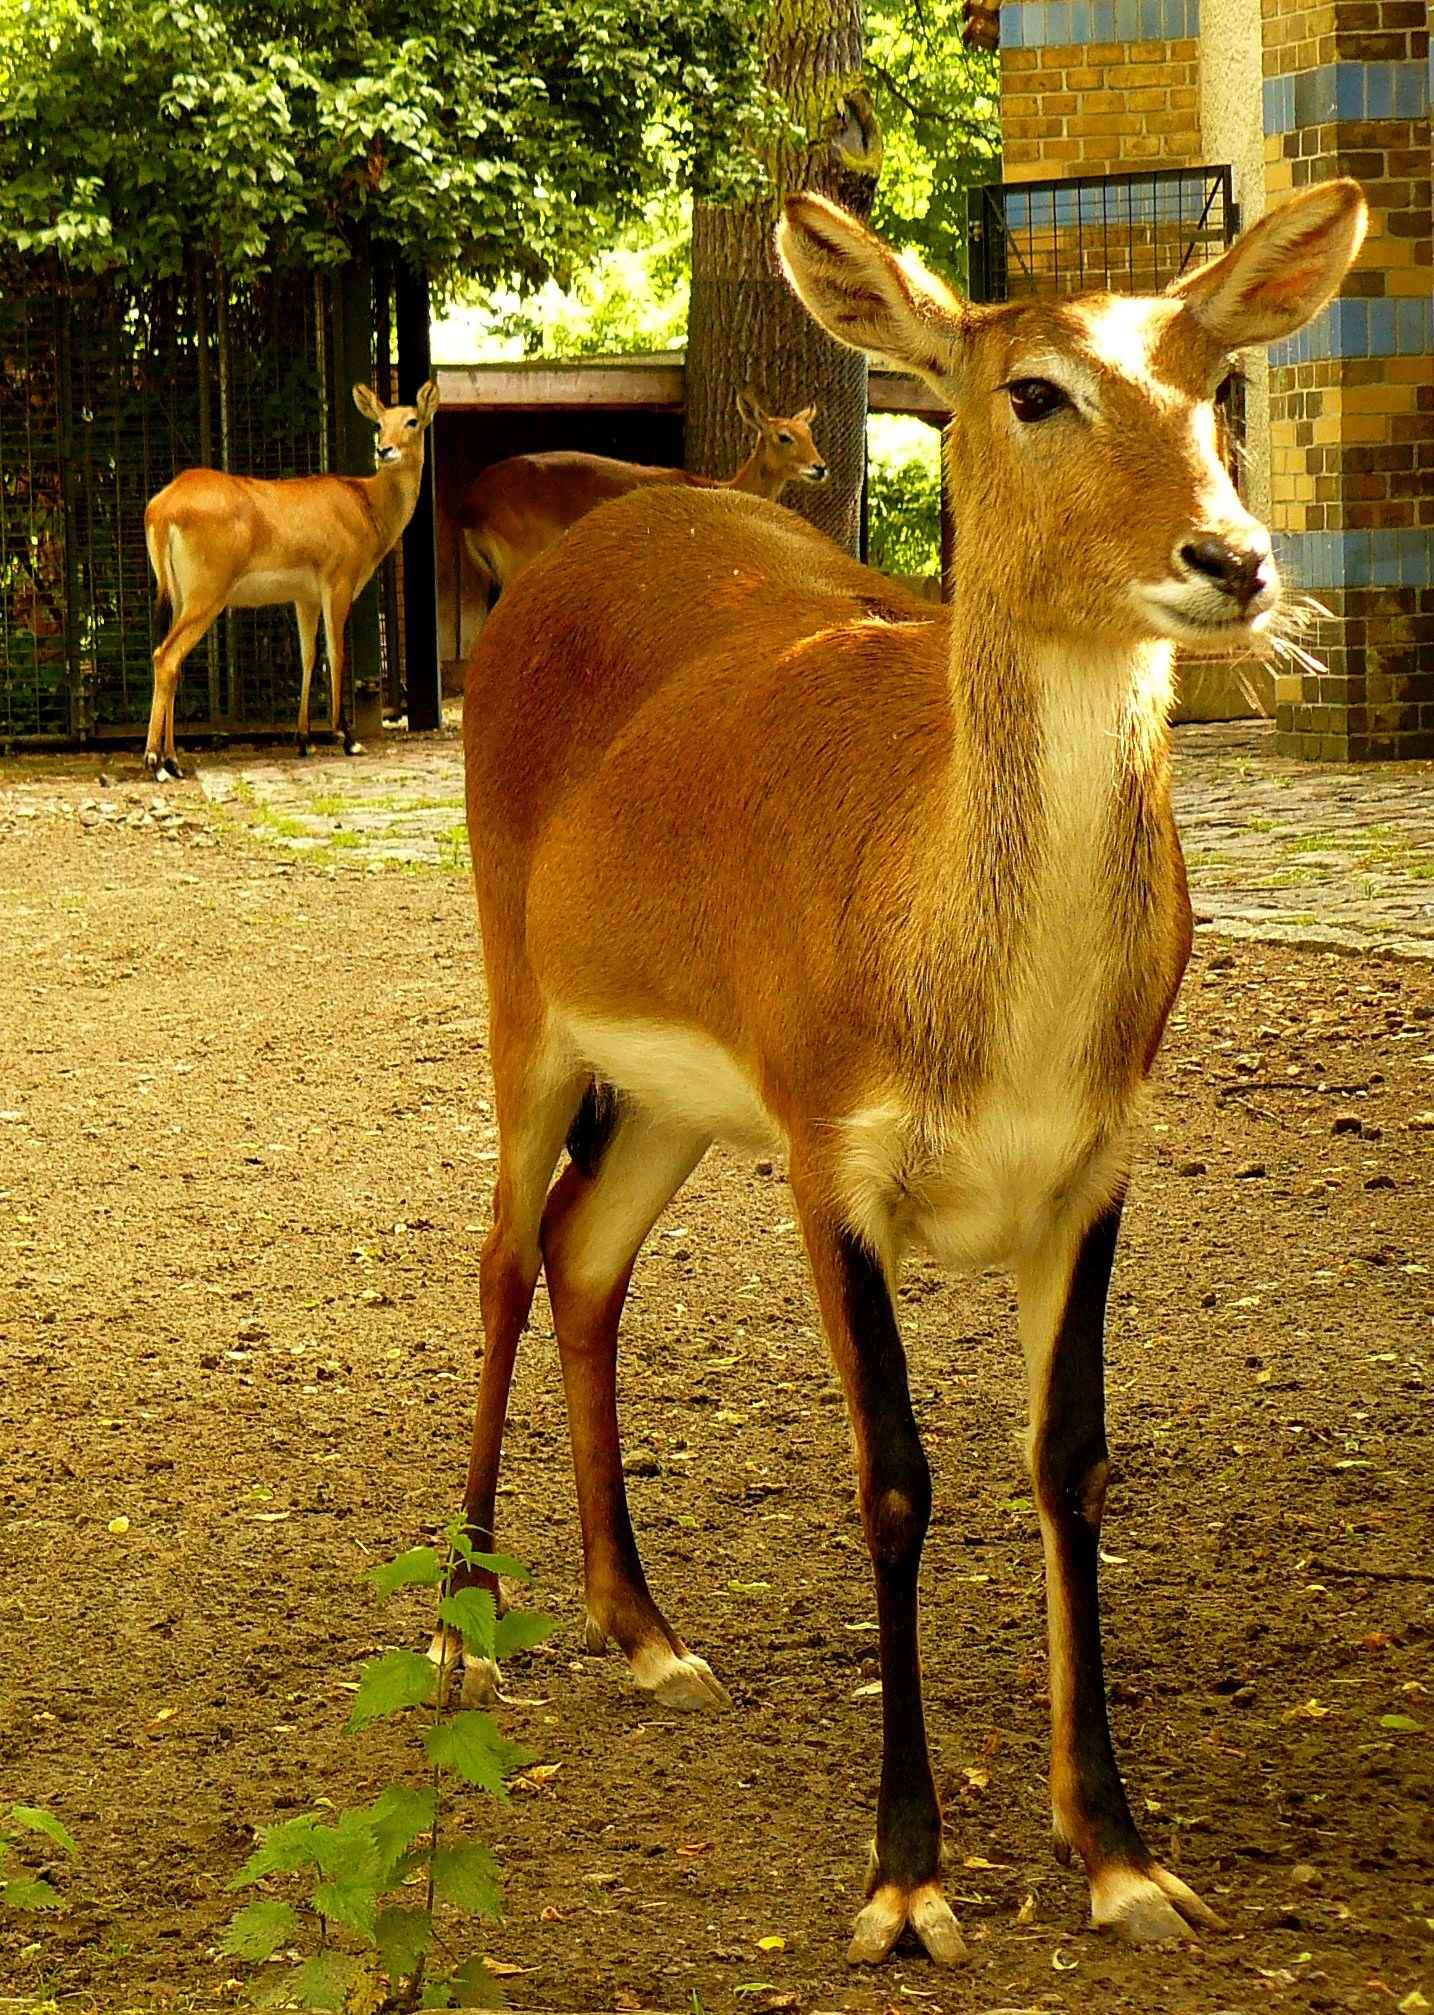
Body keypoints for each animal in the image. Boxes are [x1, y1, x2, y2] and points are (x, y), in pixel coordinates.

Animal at [145, 378, 439, 777]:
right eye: (379, 423)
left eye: (411, 421)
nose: (385, 450)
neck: (366, 503)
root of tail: (162, 507)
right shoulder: (338, 583)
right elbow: (336, 653)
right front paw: (347, 737)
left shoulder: (305, 597)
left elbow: (308, 656)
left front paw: (304, 740)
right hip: (206, 597)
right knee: (165, 656)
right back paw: (155, 762)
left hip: (180, 598)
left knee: (173, 662)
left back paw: (172, 759)